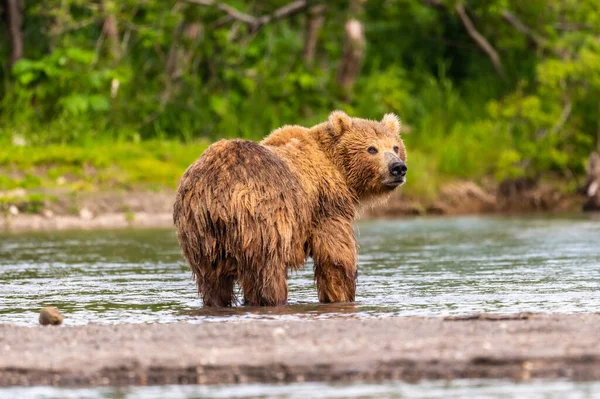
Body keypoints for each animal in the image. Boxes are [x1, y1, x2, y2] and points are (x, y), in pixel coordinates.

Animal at [173, 111, 408, 308]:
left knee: (212, 281)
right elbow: (335, 256)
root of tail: (215, 192)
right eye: (372, 148)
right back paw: (273, 300)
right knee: (266, 273)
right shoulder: (327, 206)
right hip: (261, 222)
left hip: (199, 234)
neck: (337, 168)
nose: (398, 168)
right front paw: (341, 296)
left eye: (395, 147)